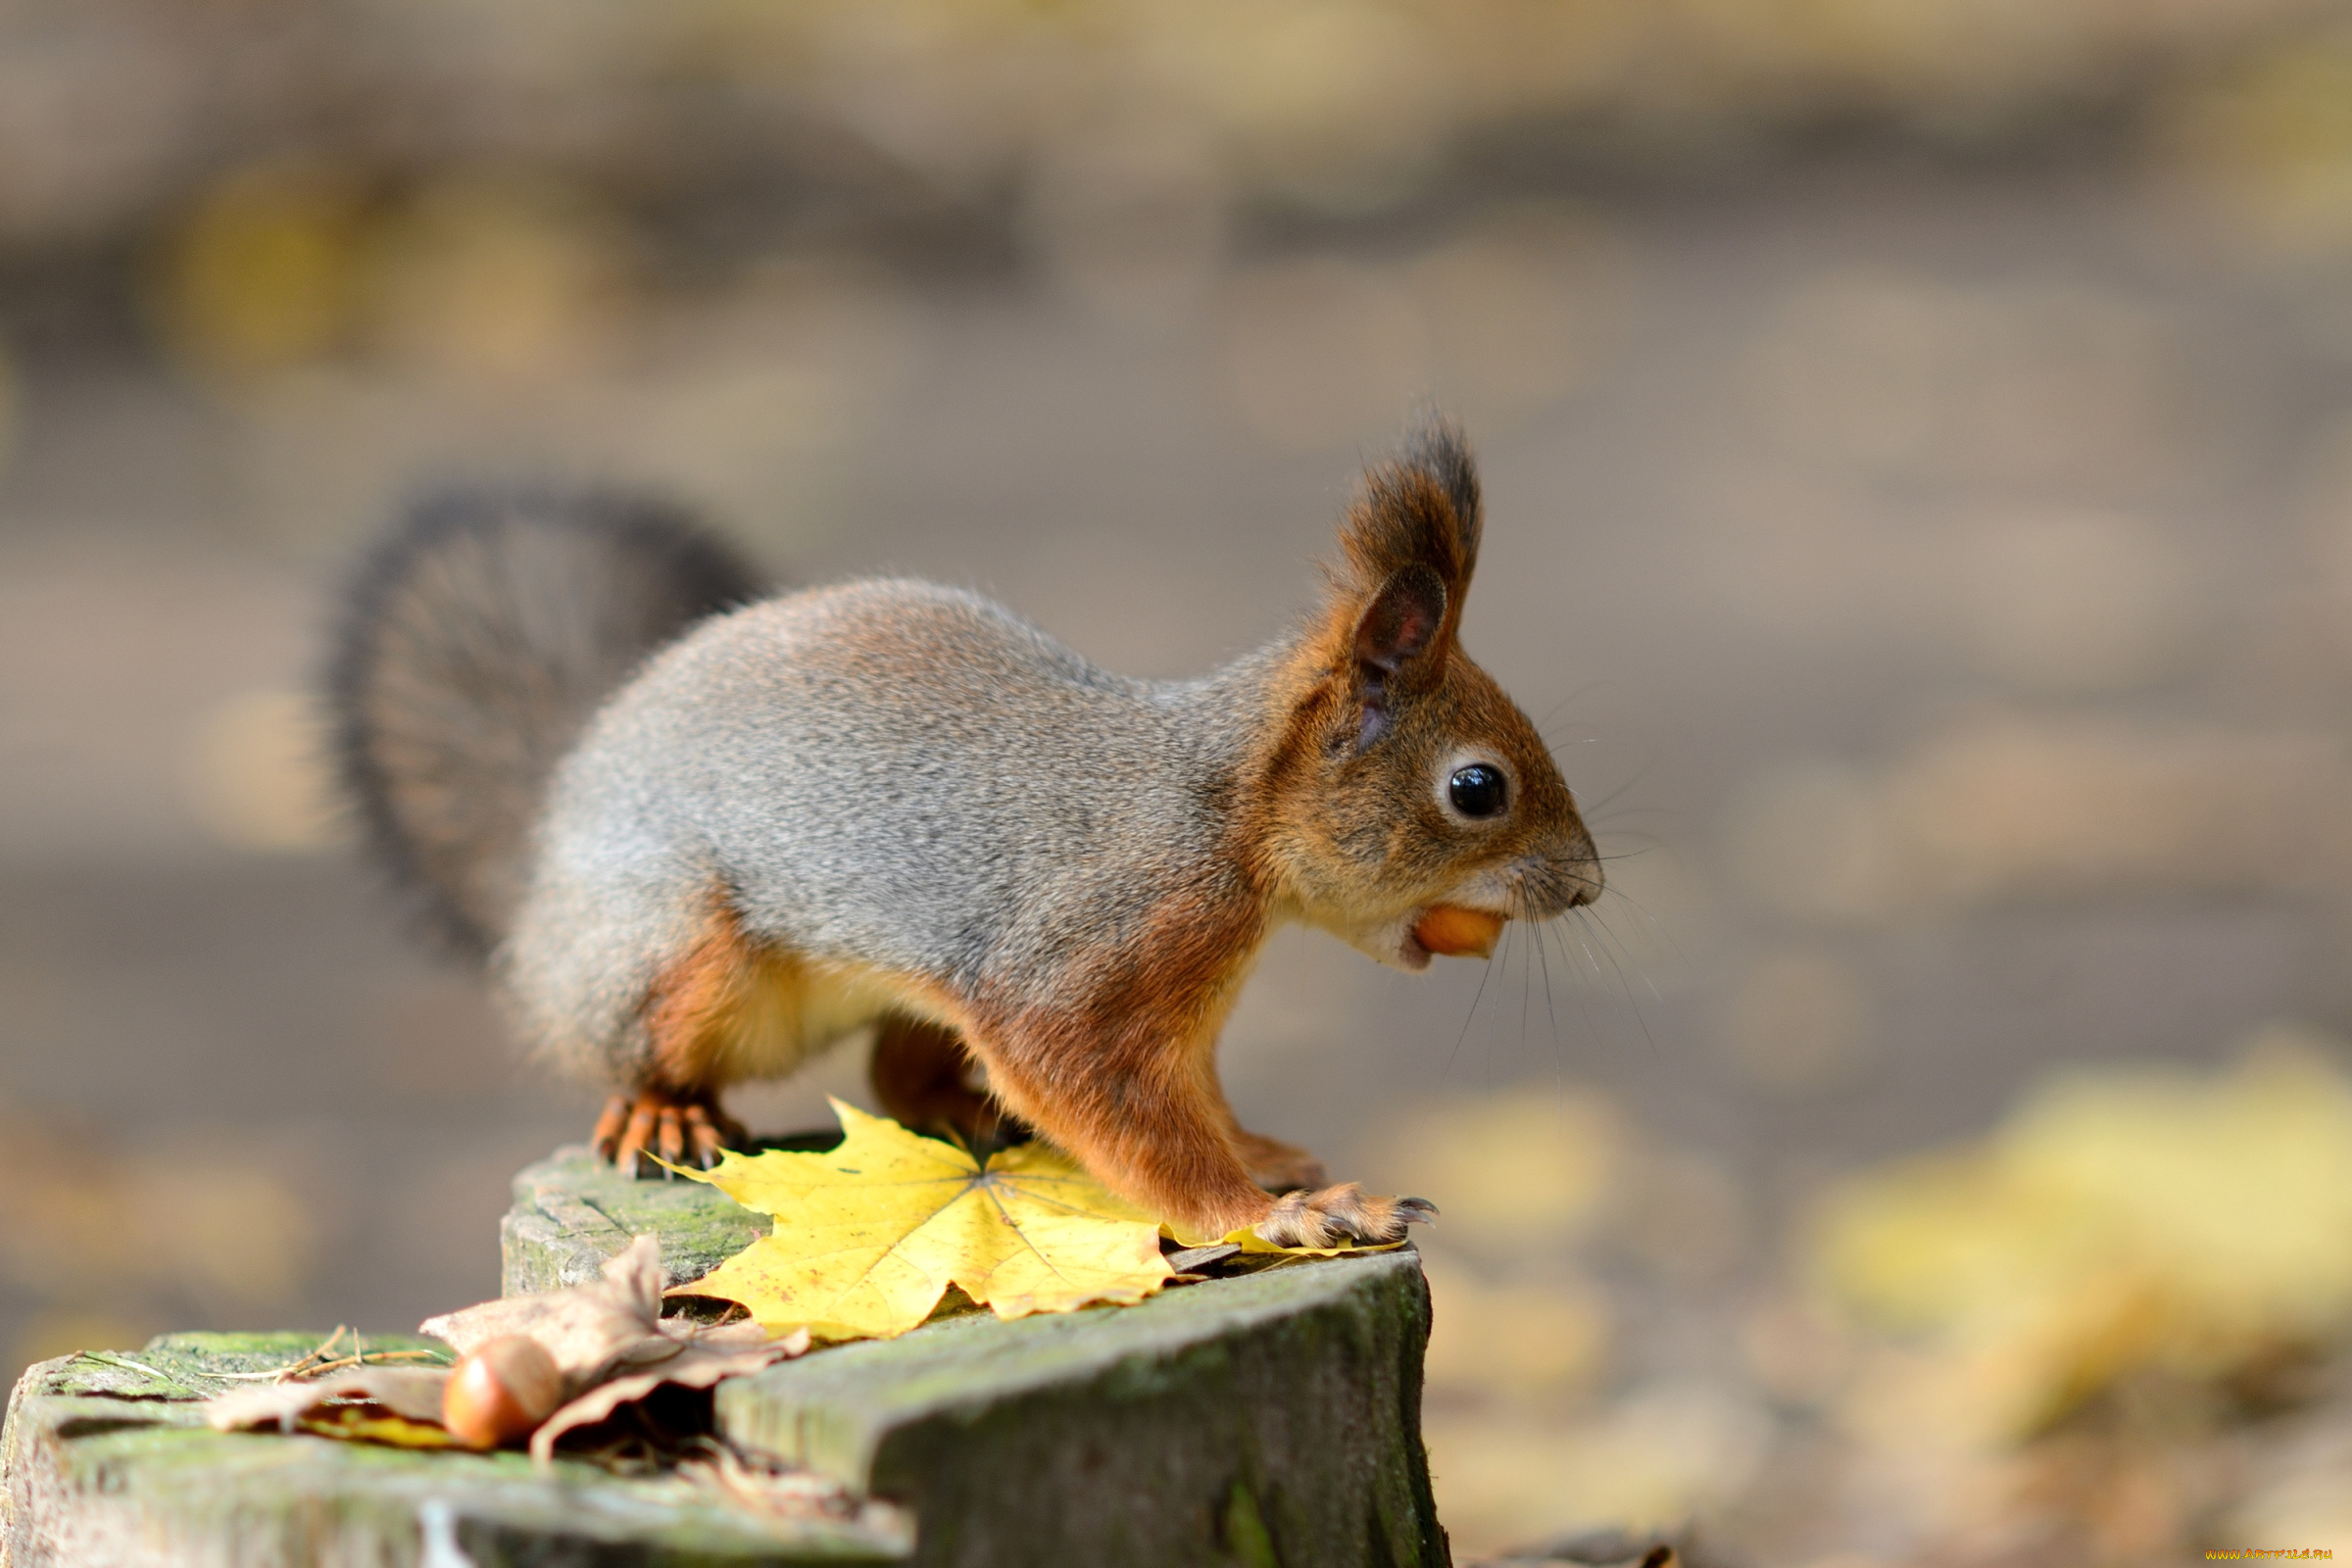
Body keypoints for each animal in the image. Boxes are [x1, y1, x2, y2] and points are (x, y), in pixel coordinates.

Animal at [326, 420, 1599, 1250]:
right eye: (1476, 787)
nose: (1587, 886)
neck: (1226, 810)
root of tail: (547, 852)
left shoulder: (1185, 1012)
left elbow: (1195, 1101)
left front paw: (1265, 1153)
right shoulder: (1101, 944)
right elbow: (1110, 1097)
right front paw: (1270, 1211)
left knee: (897, 1072)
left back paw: (965, 1109)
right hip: (678, 950)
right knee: (627, 1042)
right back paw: (663, 1109)